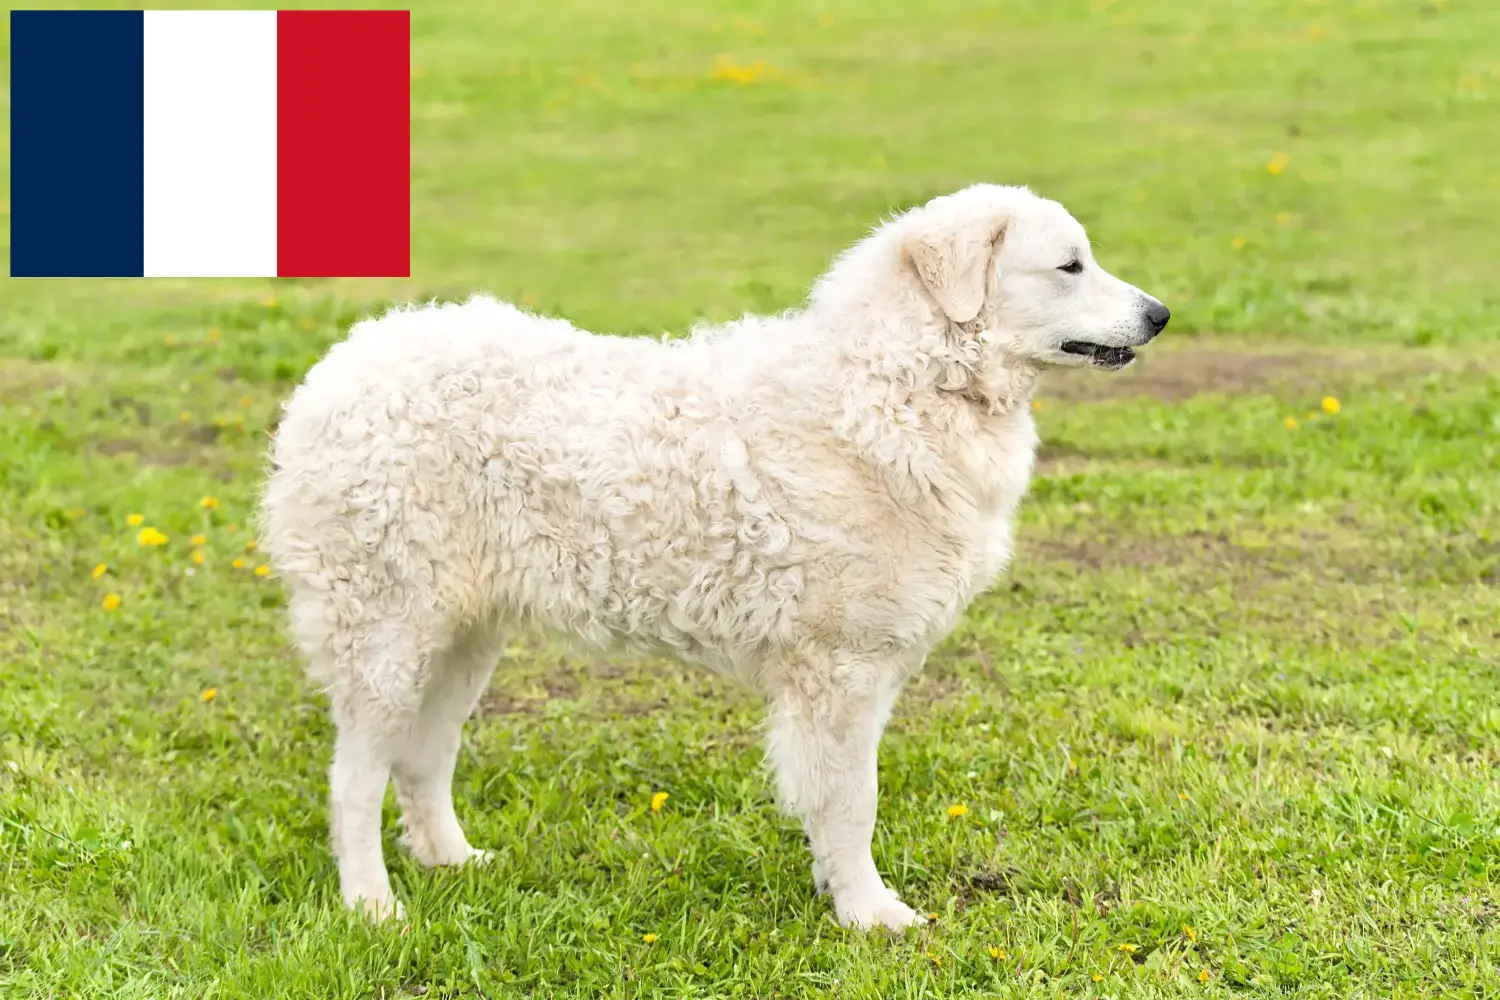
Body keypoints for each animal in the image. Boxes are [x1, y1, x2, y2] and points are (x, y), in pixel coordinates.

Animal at [261, 182, 1170, 929]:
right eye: (1069, 266)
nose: (1161, 314)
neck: (904, 384)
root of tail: (342, 365)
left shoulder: (867, 669)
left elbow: (838, 801)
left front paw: (840, 894)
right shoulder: (840, 669)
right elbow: (855, 801)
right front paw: (870, 915)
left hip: (462, 637)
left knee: (422, 758)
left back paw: (454, 862)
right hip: (388, 635)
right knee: (354, 780)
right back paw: (372, 906)